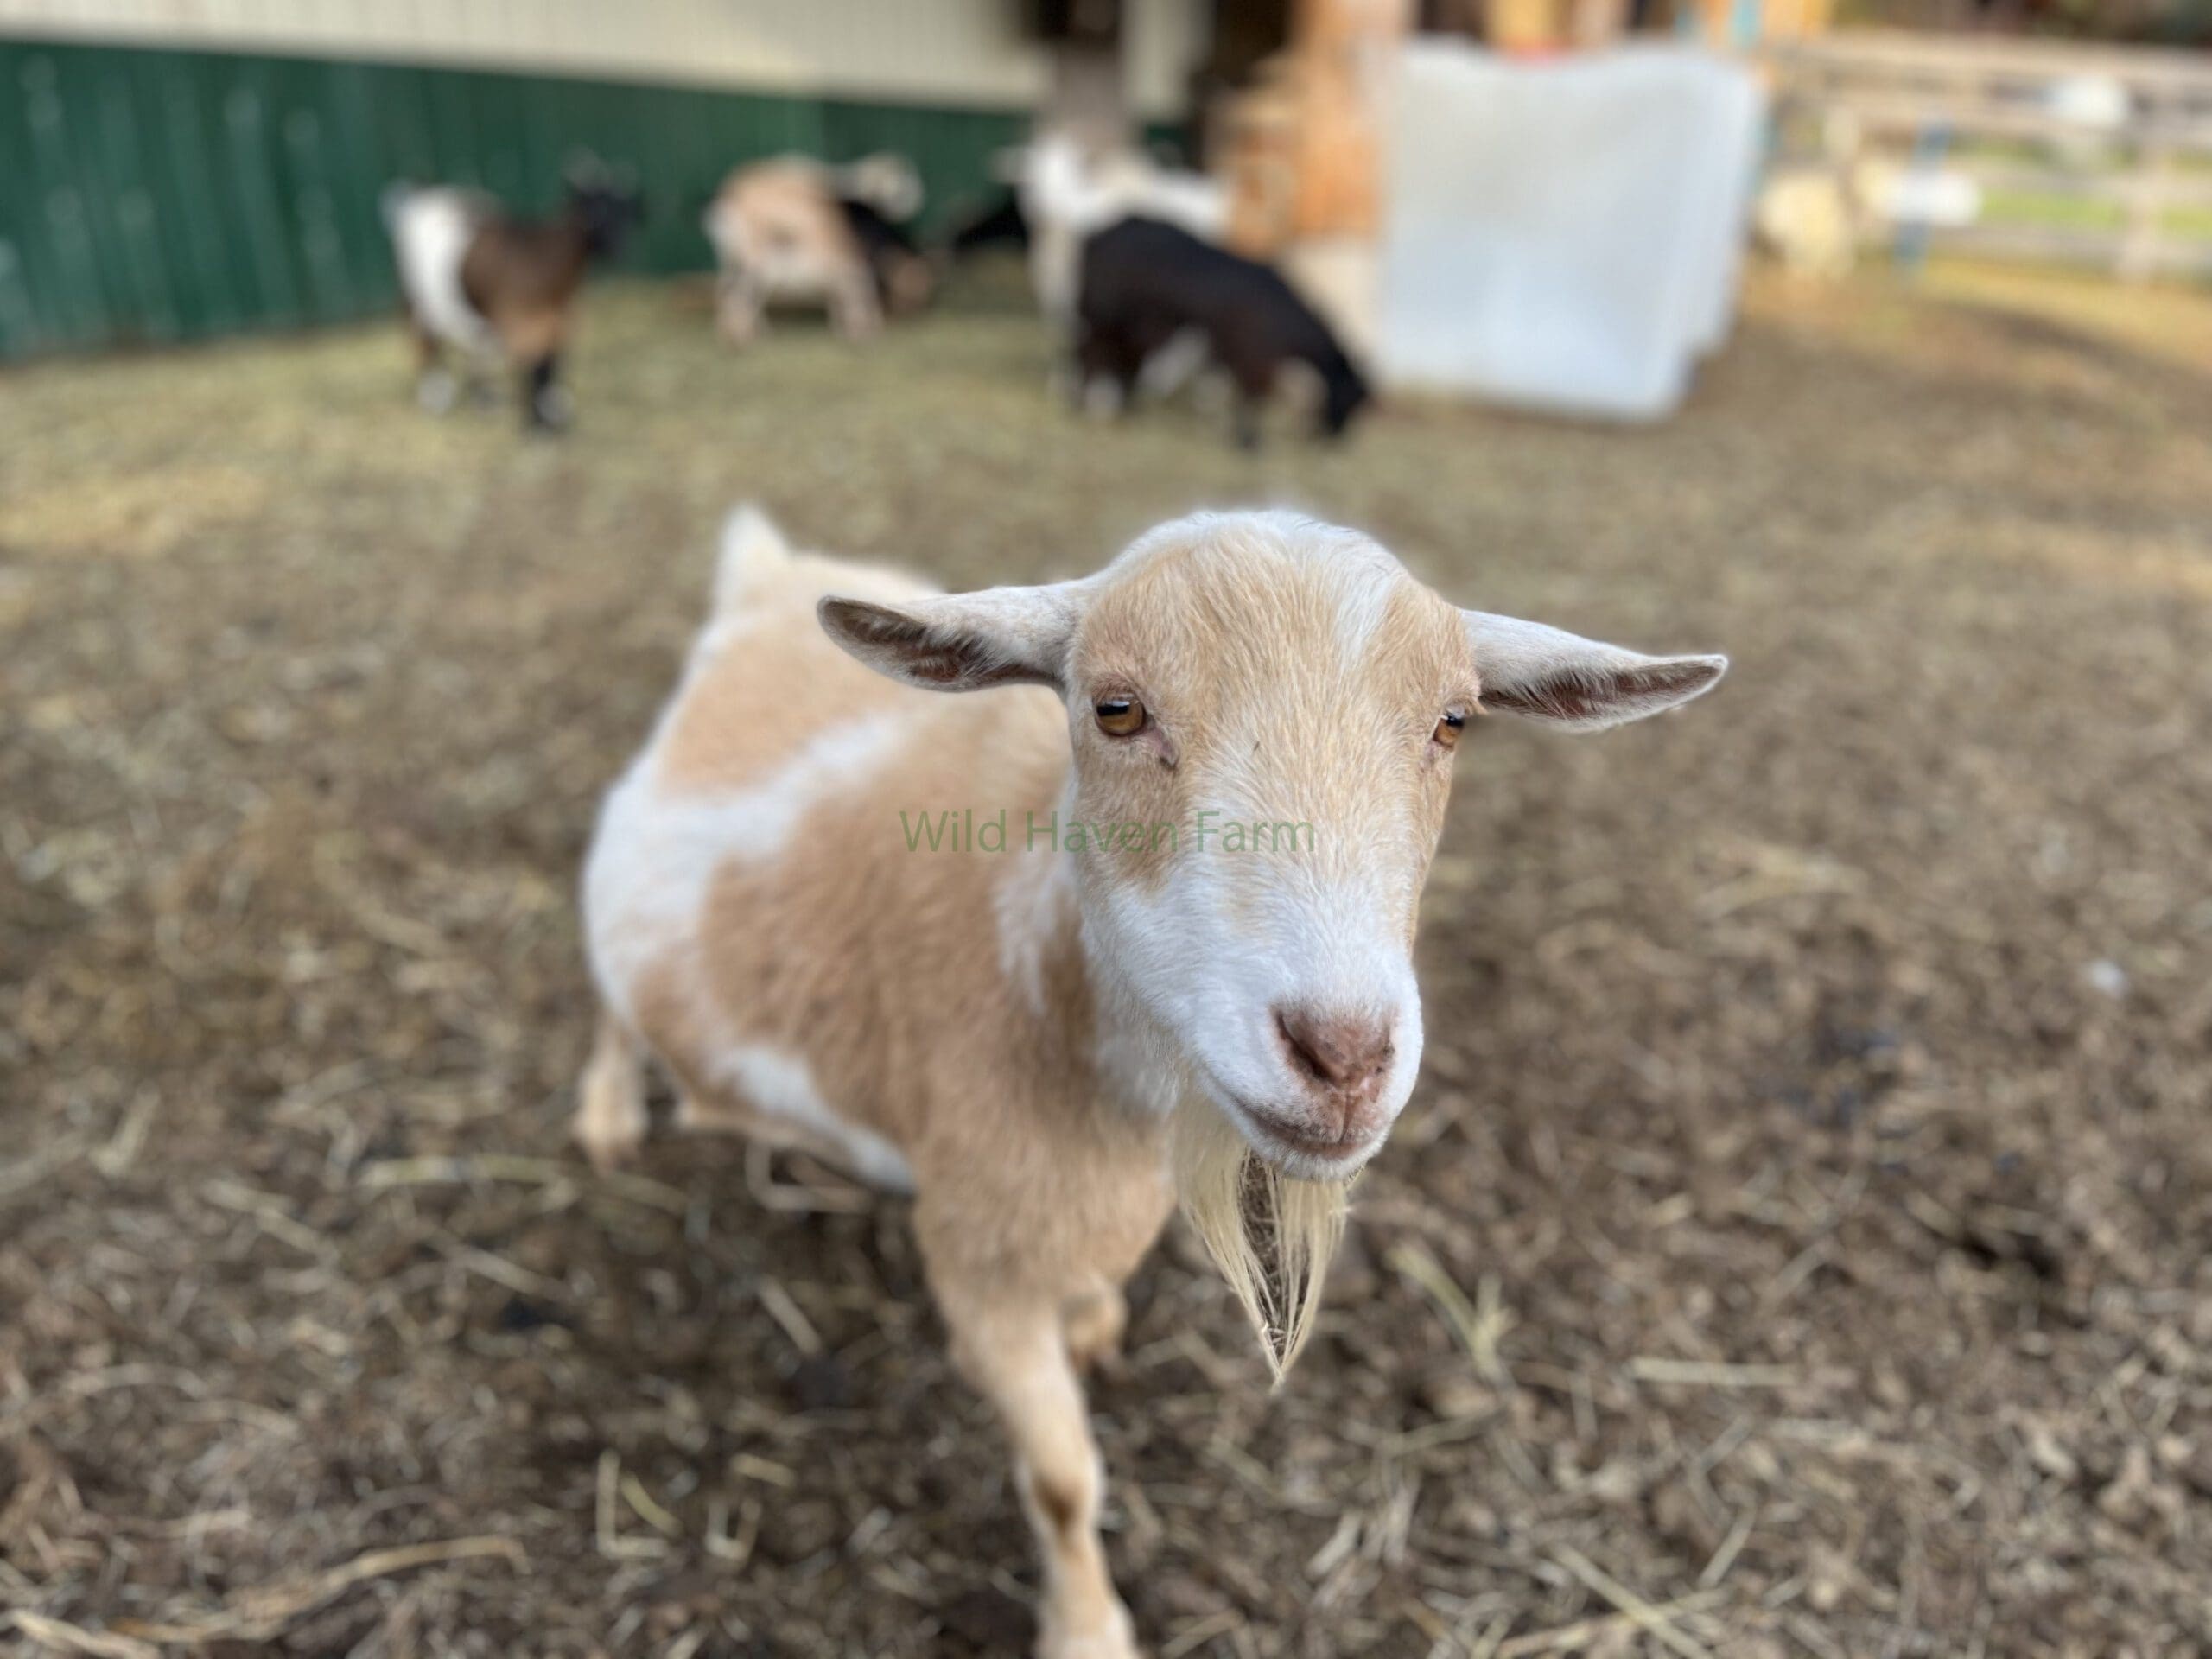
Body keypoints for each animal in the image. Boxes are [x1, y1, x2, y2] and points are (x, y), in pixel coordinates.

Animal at [383, 165, 641, 430]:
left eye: (626, 211)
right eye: (593, 210)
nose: (619, 247)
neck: (540, 262)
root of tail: (420, 196)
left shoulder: (560, 323)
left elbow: (551, 366)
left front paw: (554, 415)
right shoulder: (520, 325)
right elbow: (533, 371)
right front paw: (536, 424)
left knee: (473, 341)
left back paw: (484, 397)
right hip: (414, 294)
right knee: (423, 337)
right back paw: (436, 395)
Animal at [577, 505, 1726, 1659]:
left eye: (1453, 722)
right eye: (1115, 709)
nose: (1344, 1057)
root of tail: (772, 570)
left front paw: (1094, 1327)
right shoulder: (979, 1259)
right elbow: (1061, 1481)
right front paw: (1088, 1630)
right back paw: (606, 1116)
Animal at [703, 155, 935, 346]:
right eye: (918, 282)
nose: (916, 309)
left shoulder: (840, 268)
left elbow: (841, 295)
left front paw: (843, 327)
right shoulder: (851, 265)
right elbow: (859, 293)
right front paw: (862, 331)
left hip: (733, 260)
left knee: (727, 289)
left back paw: (748, 331)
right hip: (754, 261)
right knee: (738, 294)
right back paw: (740, 337)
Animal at [1077, 216, 1371, 448]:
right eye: (1351, 396)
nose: (1336, 440)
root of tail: (1101, 232)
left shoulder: (1230, 354)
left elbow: (1220, 390)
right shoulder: (1252, 359)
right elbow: (1249, 399)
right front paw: (1248, 441)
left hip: (1129, 330)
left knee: (1123, 363)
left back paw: (1125, 409)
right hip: (1101, 319)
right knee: (1090, 354)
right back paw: (1085, 404)